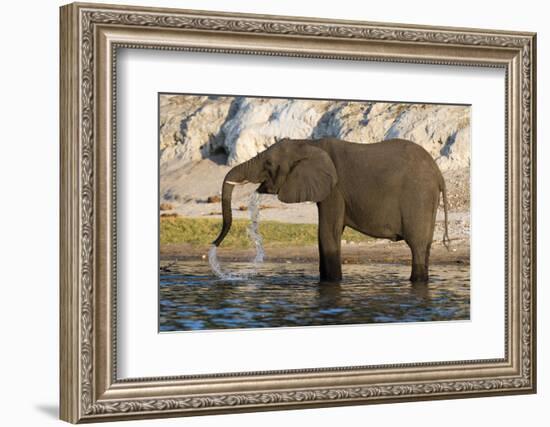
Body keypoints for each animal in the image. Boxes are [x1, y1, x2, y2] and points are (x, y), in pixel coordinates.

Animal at [213, 138, 450, 284]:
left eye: (269, 164)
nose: (214, 244)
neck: (308, 143)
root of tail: (439, 174)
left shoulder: (335, 189)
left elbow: (328, 233)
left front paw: (332, 282)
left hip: (418, 196)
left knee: (417, 246)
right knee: (425, 246)